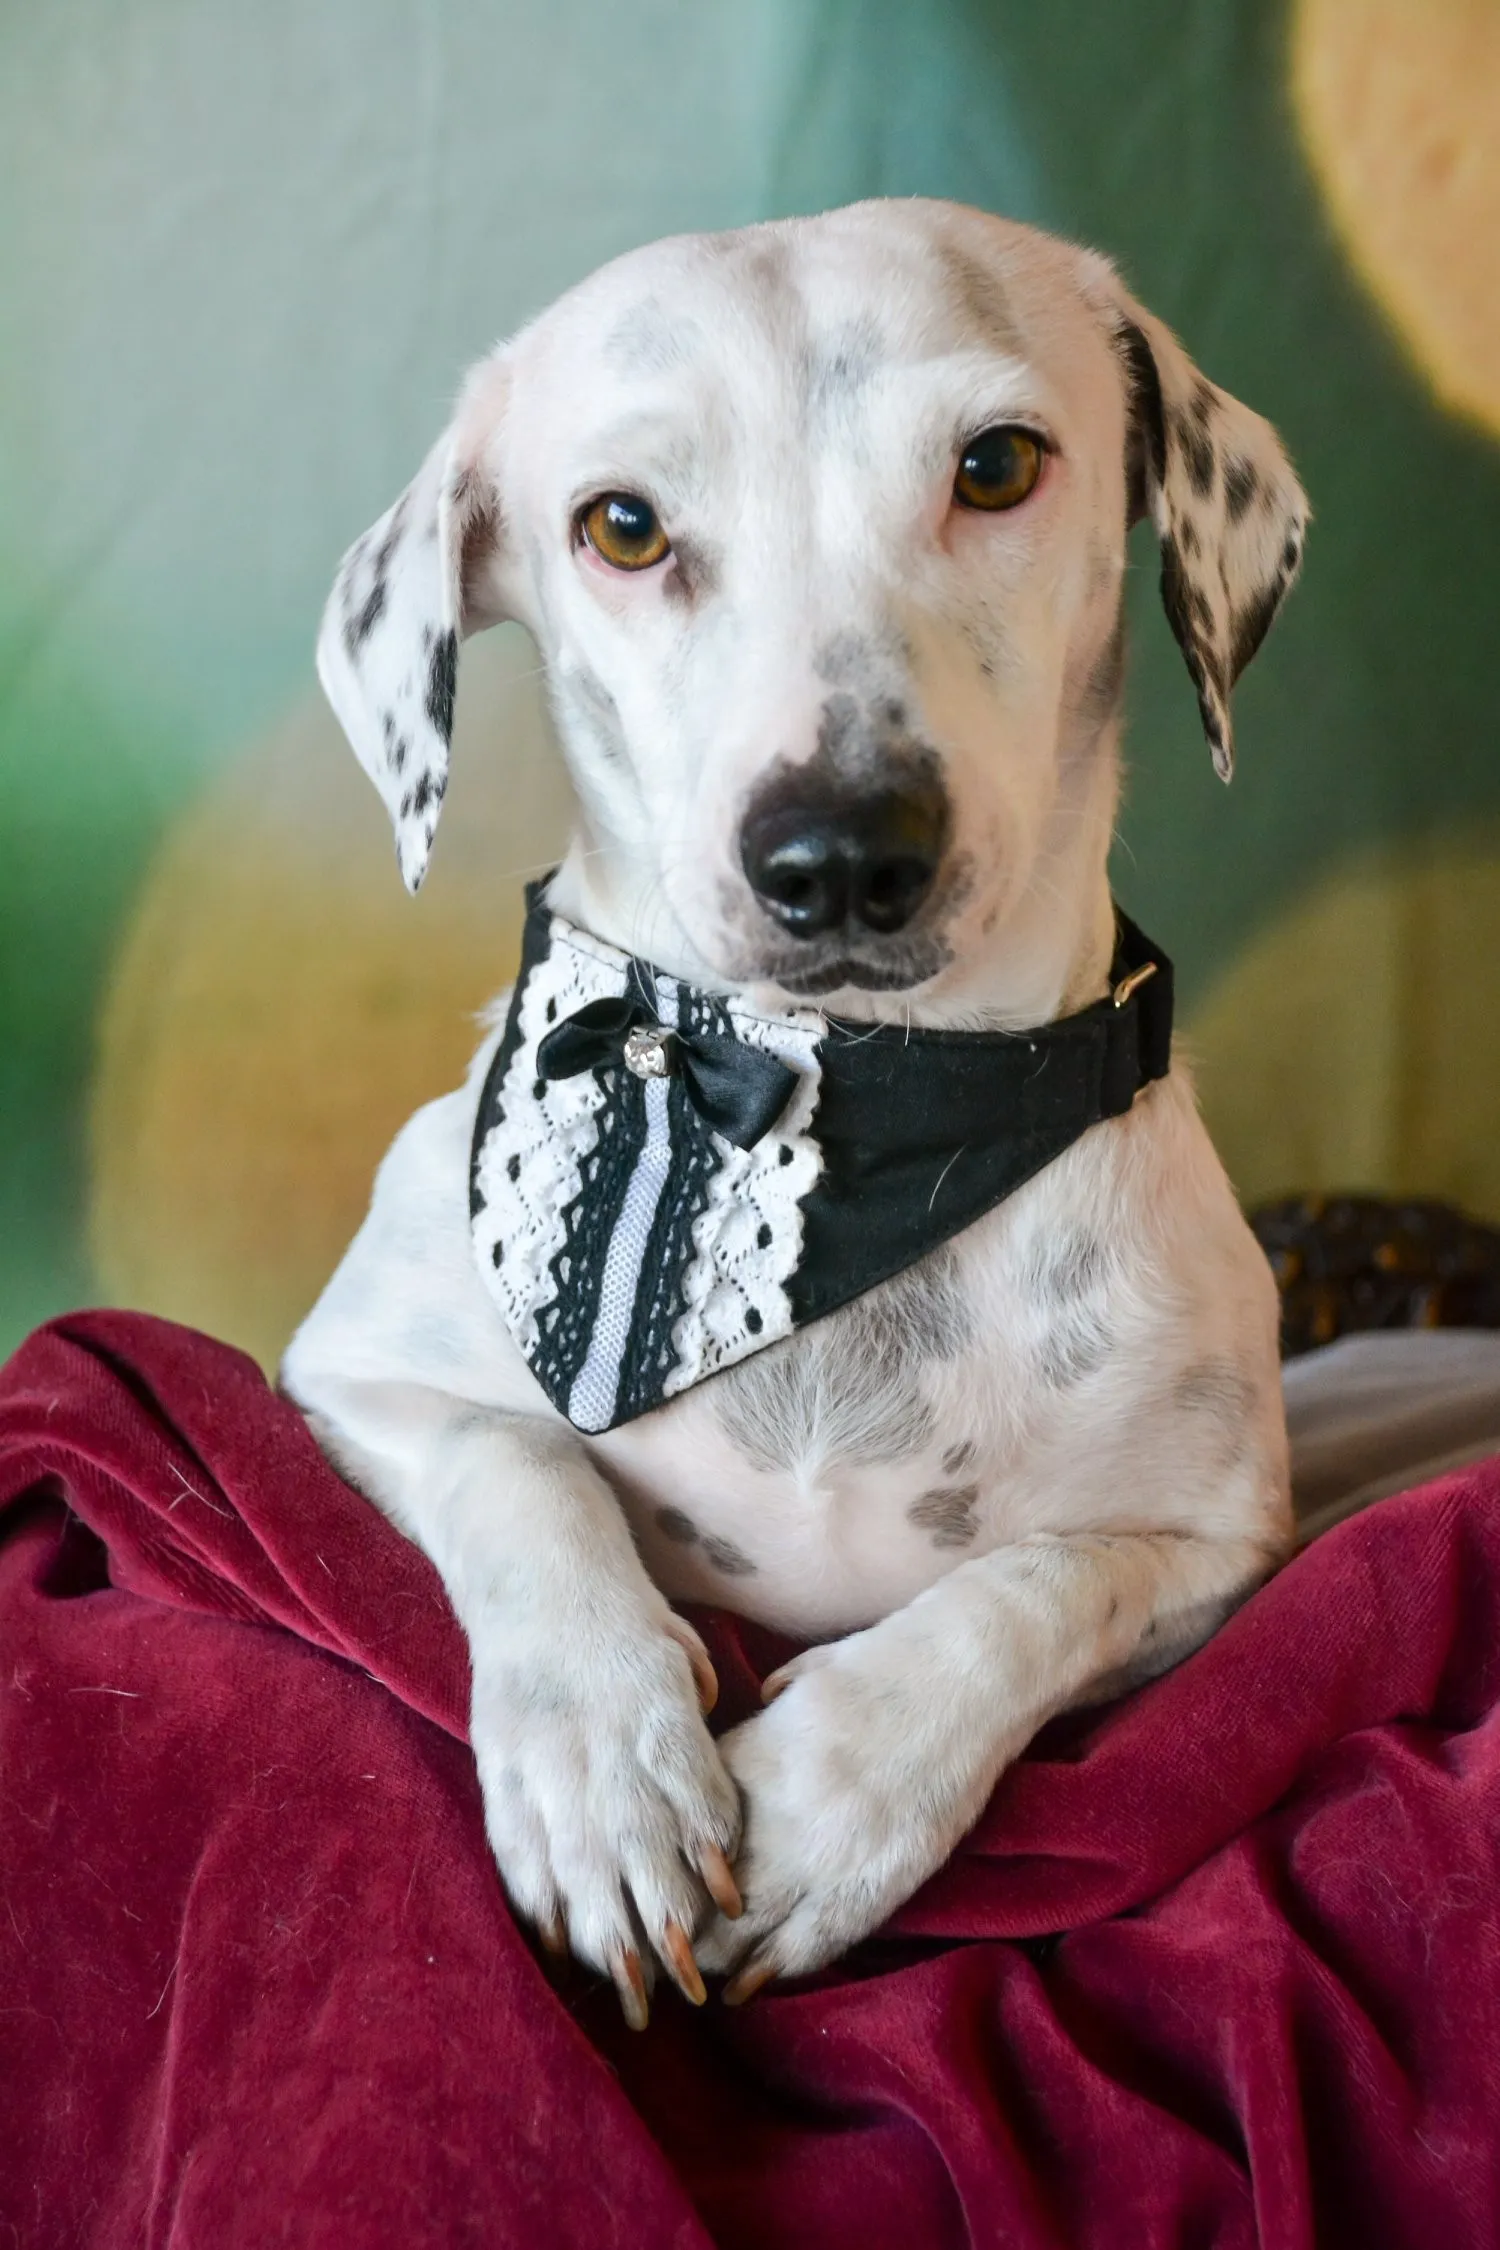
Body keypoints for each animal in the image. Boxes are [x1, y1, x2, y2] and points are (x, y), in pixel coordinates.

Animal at [281, 198, 1304, 2025]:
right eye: (622, 524)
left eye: (995, 464)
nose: (838, 851)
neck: (853, 1104)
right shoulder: (356, 1379)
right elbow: (515, 1467)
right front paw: (605, 1757)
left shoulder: (1225, 1539)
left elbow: (1030, 1584)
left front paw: (836, 1799)